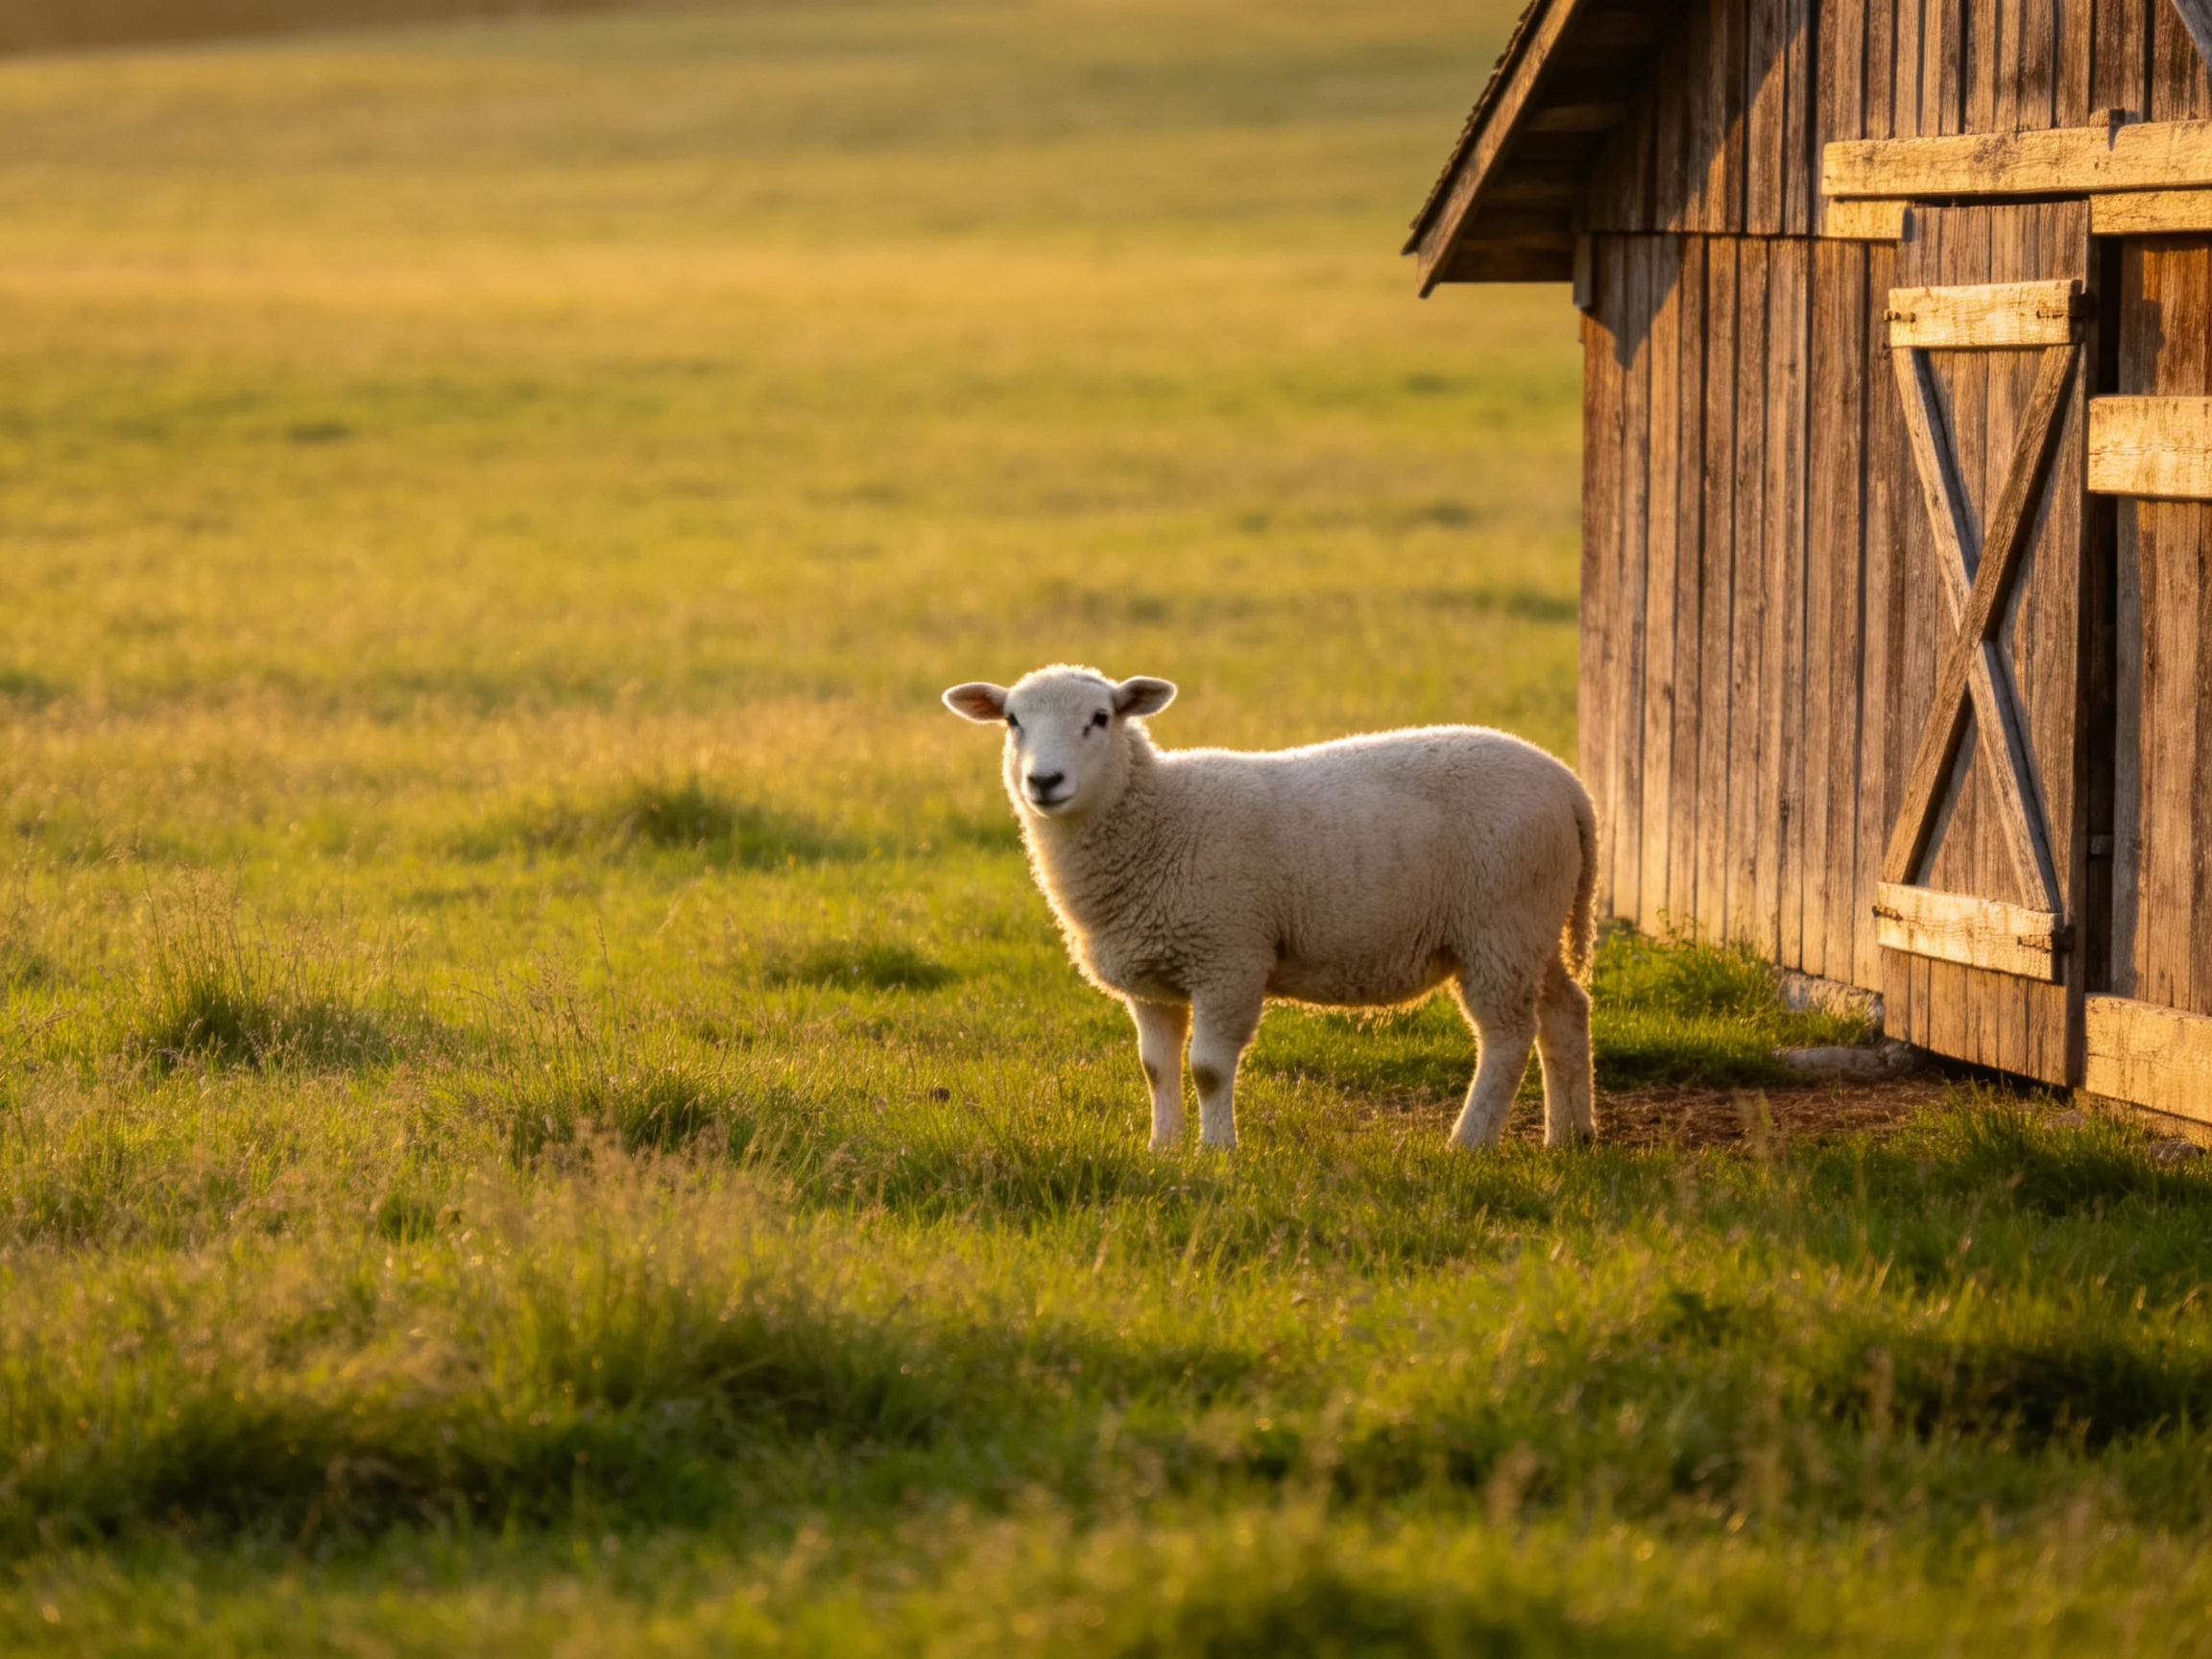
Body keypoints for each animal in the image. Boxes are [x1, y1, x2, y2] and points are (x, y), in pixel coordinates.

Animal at [942, 664, 1597, 1152]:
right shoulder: (1150, 978)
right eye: (1012, 720)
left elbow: (1207, 1068)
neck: (1157, 817)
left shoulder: (1228, 956)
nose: (1044, 781)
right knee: (1565, 1011)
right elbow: (1156, 1067)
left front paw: (1216, 1152)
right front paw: (1164, 1149)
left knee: (1507, 1035)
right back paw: (1569, 1136)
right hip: (1532, 925)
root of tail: (1567, 783)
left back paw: (1469, 1142)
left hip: (1501, 923)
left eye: (1100, 719)